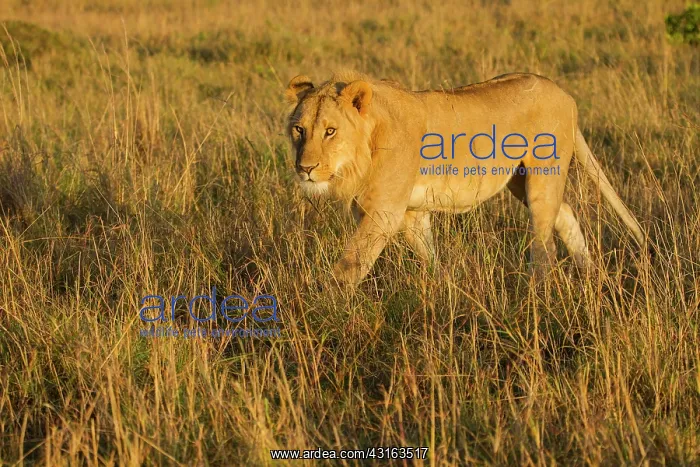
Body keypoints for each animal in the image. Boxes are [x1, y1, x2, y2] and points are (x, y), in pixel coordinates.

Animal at [285, 71, 646, 288]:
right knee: (566, 214)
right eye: (299, 130)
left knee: (545, 244)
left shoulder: (383, 212)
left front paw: (325, 310)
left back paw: (537, 292)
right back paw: (590, 273)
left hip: (543, 177)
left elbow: (349, 266)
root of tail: (563, 93)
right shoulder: (412, 213)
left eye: (330, 131)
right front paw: (443, 287)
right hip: (519, 180)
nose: (305, 168)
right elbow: (428, 255)